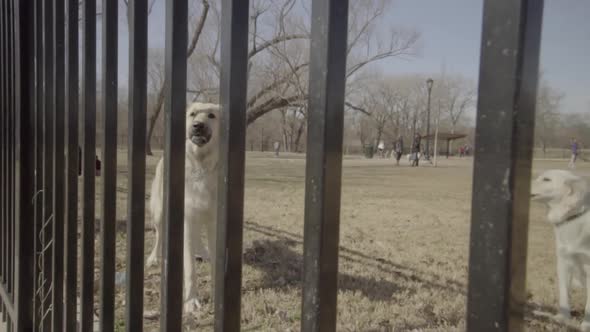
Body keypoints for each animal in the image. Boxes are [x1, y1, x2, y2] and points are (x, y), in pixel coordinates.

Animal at [148, 102, 222, 314]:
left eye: (211, 115)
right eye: (193, 114)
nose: (197, 125)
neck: (201, 166)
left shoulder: (214, 221)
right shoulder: (187, 219)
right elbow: (189, 268)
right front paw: (191, 301)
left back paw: (203, 253)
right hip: (160, 213)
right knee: (159, 235)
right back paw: (154, 258)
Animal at [532, 170, 590, 330]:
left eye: (546, 179)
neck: (572, 217)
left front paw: (586, 325)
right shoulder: (564, 262)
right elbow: (564, 294)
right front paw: (561, 318)